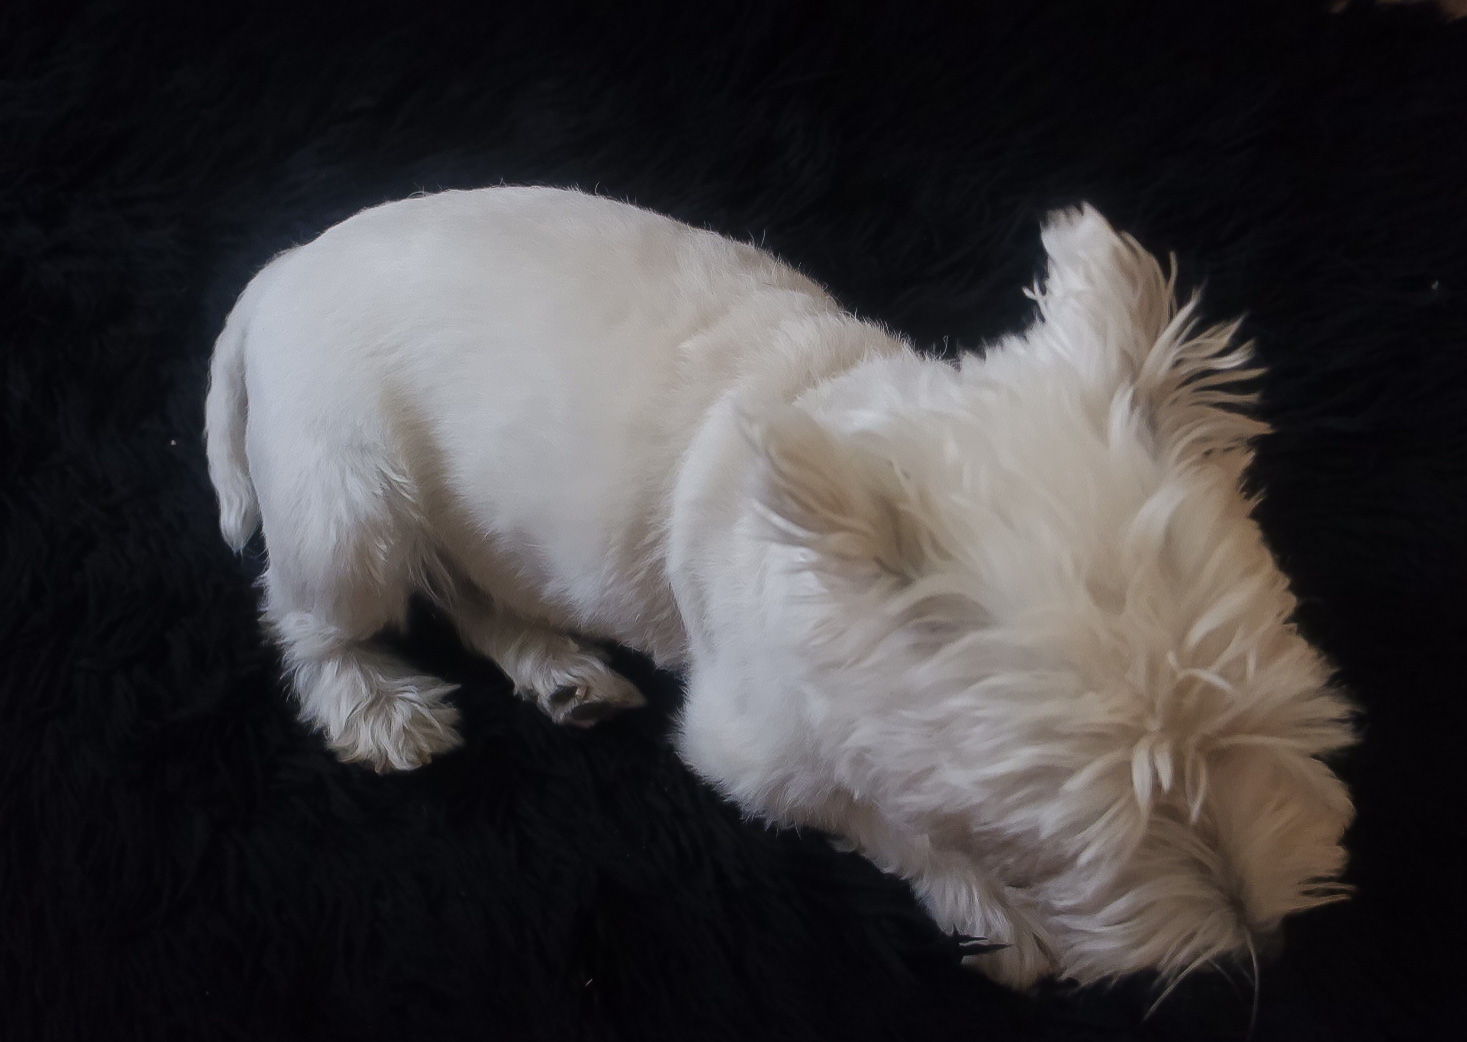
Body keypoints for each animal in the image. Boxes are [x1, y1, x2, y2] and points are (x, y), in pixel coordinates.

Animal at [205, 186, 1355, 990]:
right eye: (1076, 825)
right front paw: (997, 910)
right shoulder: (745, 750)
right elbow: (880, 817)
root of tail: (277, 269)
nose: (1258, 942)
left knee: (475, 593)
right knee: (312, 619)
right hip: (352, 504)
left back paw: (559, 669)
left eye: (1275, 726)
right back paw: (377, 706)